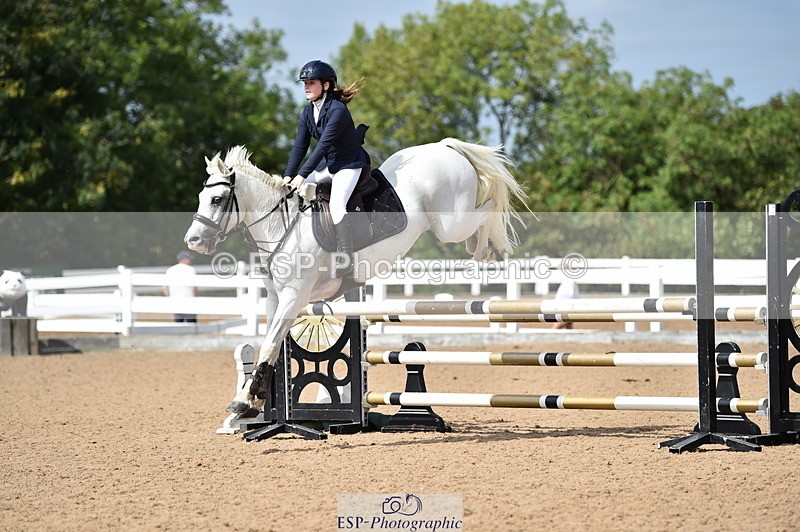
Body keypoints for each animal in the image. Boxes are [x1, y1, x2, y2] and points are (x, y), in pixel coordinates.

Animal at [184, 138, 527, 415]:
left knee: (488, 208)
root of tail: (444, 146)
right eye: (201, 198)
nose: (194, 241)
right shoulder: (275, 298)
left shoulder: (294, 298)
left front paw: (244, 402)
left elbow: (269, 346)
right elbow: (268, 345)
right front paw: (253, 402)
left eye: (216, 200)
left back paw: (486, 249)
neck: (282, 226)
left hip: (450, 222)